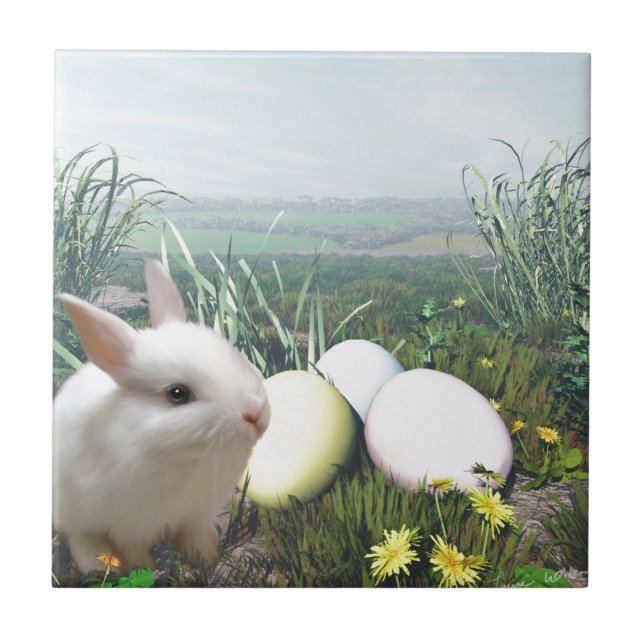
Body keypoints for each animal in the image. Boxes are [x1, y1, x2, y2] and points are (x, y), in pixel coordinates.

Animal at [53, 259, 271, 575]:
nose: (255, 414)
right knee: (81, 537)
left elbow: (195, 538)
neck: (184, 456)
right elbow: (133, 549)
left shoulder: (195, 514)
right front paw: (142, 569)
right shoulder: (128, 524)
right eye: (177, 394)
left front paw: (208, 559)